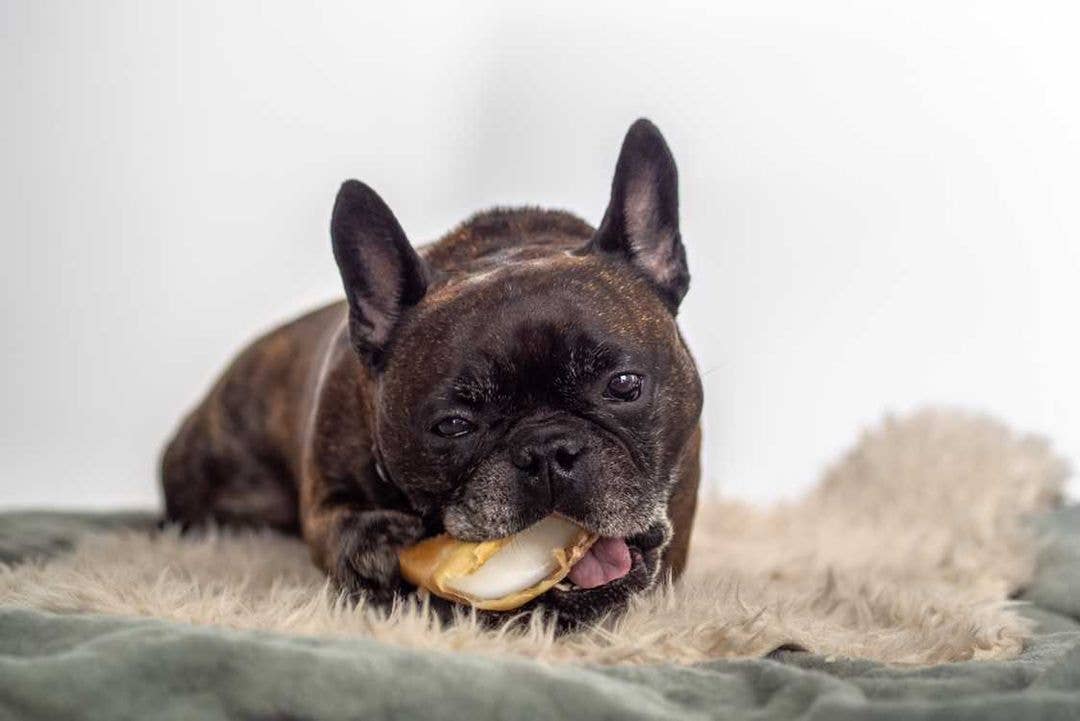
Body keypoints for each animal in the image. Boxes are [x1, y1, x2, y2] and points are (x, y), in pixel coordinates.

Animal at [159, 118, 699, 626]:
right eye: (453, 425)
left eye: (623, 386)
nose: (547, 450)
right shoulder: (324, 495)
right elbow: (343, 529)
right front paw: (379, 545)